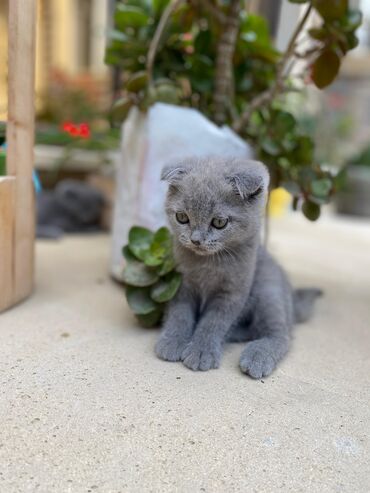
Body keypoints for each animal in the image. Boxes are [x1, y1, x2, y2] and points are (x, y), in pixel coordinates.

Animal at [154, 158, 320, 376]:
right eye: (182, 217)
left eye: (219, 222)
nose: (196, 240)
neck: (207, 264)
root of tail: (292, 298)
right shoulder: (181, 285)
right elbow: (179, 314)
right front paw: (173, 341)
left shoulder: (232, 293)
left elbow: (213, 322)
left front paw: (201, 351)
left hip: (269, 292)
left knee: (280, 334)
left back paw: (257, 356)